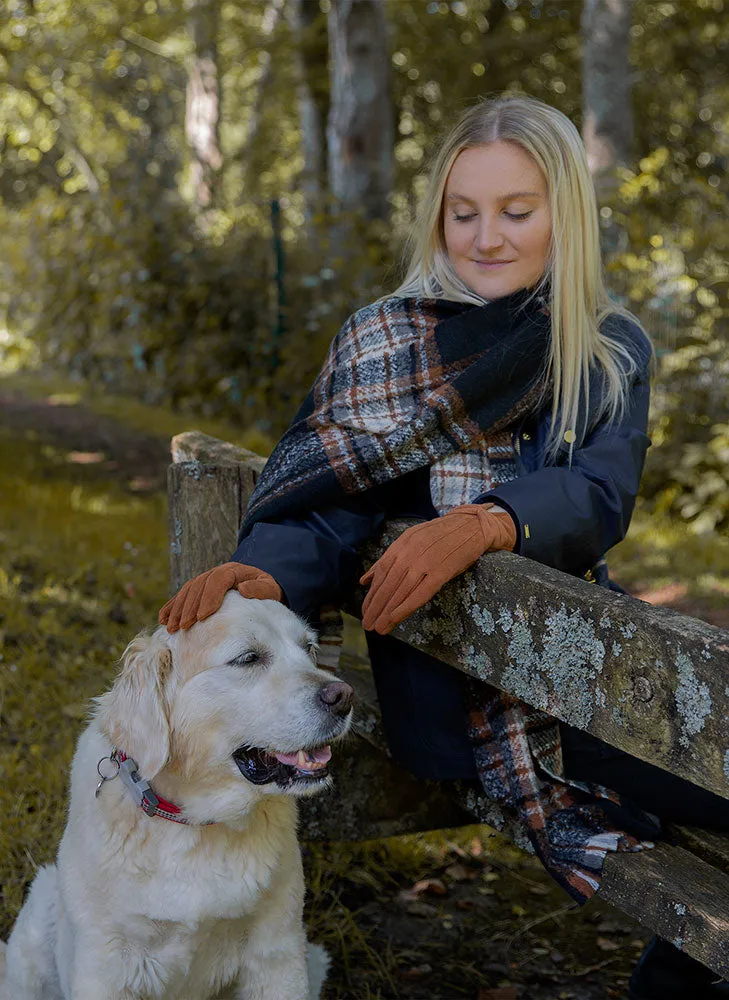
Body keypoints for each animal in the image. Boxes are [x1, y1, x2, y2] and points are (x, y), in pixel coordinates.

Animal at [0, 588, 352, 996]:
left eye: (309, 648)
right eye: (248, 658)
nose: (344, 696)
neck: (193, 822)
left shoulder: (279, 952)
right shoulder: (105, 964)